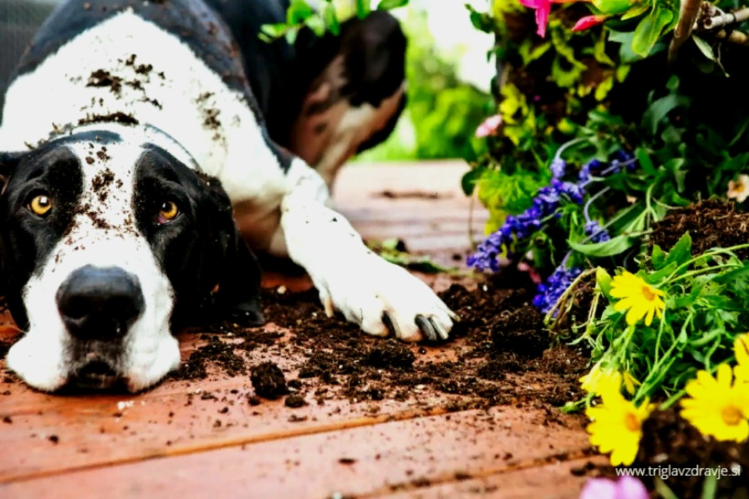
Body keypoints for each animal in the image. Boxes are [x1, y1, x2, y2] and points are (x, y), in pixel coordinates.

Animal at [0, 0, 456, 394]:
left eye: (169, 209)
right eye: (40, 202)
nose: (99, 303)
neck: (117, 104)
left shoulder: (291, 177)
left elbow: (316, 220)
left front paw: (381, 284)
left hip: (381, 33)